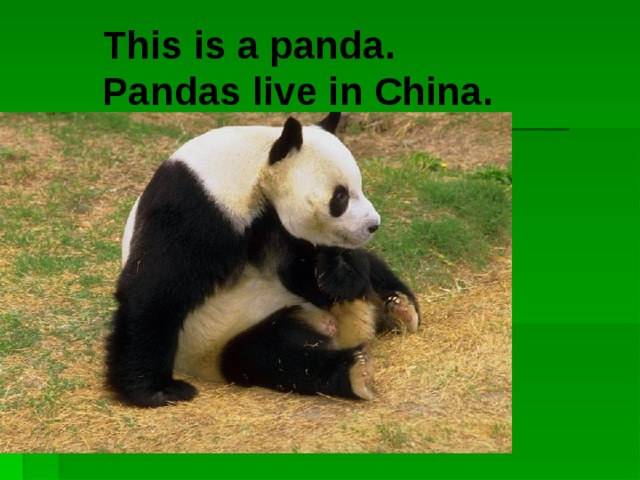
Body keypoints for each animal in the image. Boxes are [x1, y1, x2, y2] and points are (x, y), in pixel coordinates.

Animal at [106, 113, 420, 408]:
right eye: (340, 196)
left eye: (360, 187)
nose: (373, 225)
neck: (253, 172)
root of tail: (346, 329)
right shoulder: (196, 210)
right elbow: (156, 291)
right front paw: (155, 391)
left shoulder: (279, 227)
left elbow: (311, 275)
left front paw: (337, 272)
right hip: (224, 333)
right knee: (273, 356)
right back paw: (356, 371)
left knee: (373, 269)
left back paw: (397, 306)